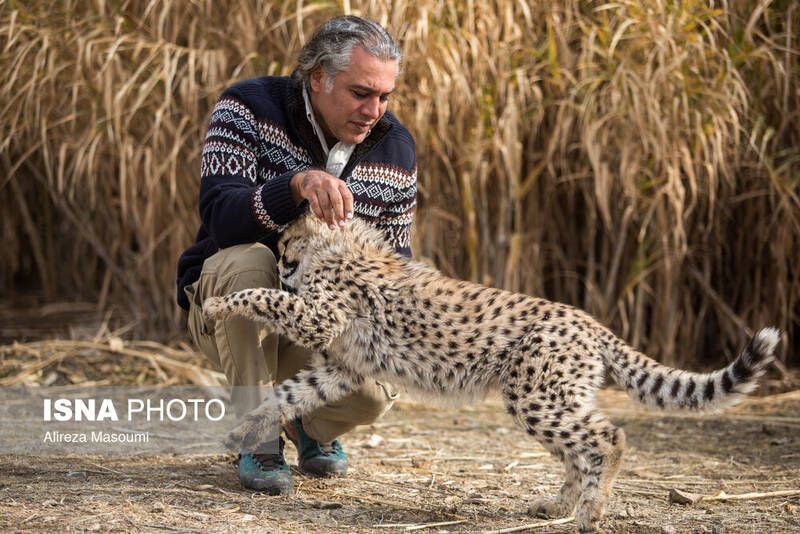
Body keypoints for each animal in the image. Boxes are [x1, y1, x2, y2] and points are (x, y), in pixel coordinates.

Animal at [203, 214, 778, 534]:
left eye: (287, 242)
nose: (282, 260)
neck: (342, 247)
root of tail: (590, 321)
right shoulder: (339, 369)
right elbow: (286, 395)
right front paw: (243, 430)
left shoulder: (319, 317)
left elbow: (263, 298)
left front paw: (218, 304)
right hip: (549, 396)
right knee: (580, 450)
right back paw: (556, 505)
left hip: (536, 396)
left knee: (607, 438)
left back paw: (590, 514)